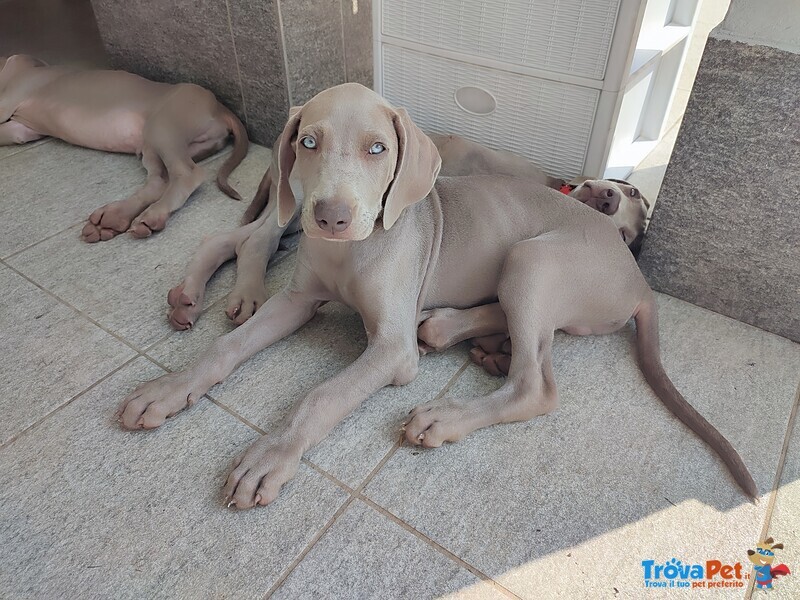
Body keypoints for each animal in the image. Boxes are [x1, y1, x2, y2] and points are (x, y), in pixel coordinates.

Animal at [0, 54, 247, 241]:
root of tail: (219, 106)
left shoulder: (9, 99)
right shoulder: (20, 130)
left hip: (163, 125)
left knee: (187, 174)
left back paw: (153, 214)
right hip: (154, 144)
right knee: (159, 181)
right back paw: (114, 217)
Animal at [117, 83, 756, 506]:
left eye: (378, 149)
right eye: (309, 141)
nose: (331, 217)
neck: (354, 250)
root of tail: (639, 278)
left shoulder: (389, 350)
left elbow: (322, 396)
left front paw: (271, 455)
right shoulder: (294, 301)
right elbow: (227, 348)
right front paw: (170, 389)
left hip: (534, 259)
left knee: (537, 384)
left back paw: (451, 405)